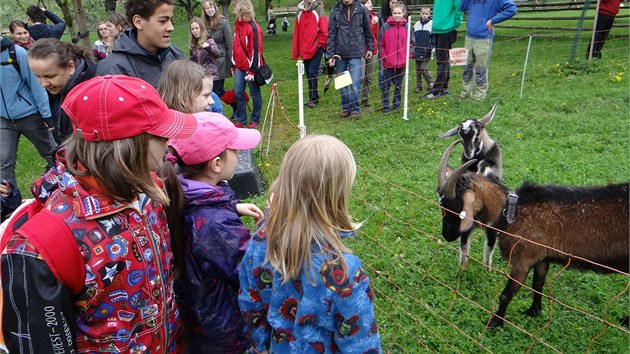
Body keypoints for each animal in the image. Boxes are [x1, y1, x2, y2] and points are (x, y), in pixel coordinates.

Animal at [440, 140, 630, 328]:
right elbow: (537, 285)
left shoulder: (522, 259)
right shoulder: (542, 257)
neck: (512, 212)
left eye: (455, 206)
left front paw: (495, 322)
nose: (446, 236)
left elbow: (506, 294)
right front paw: (533, 312)